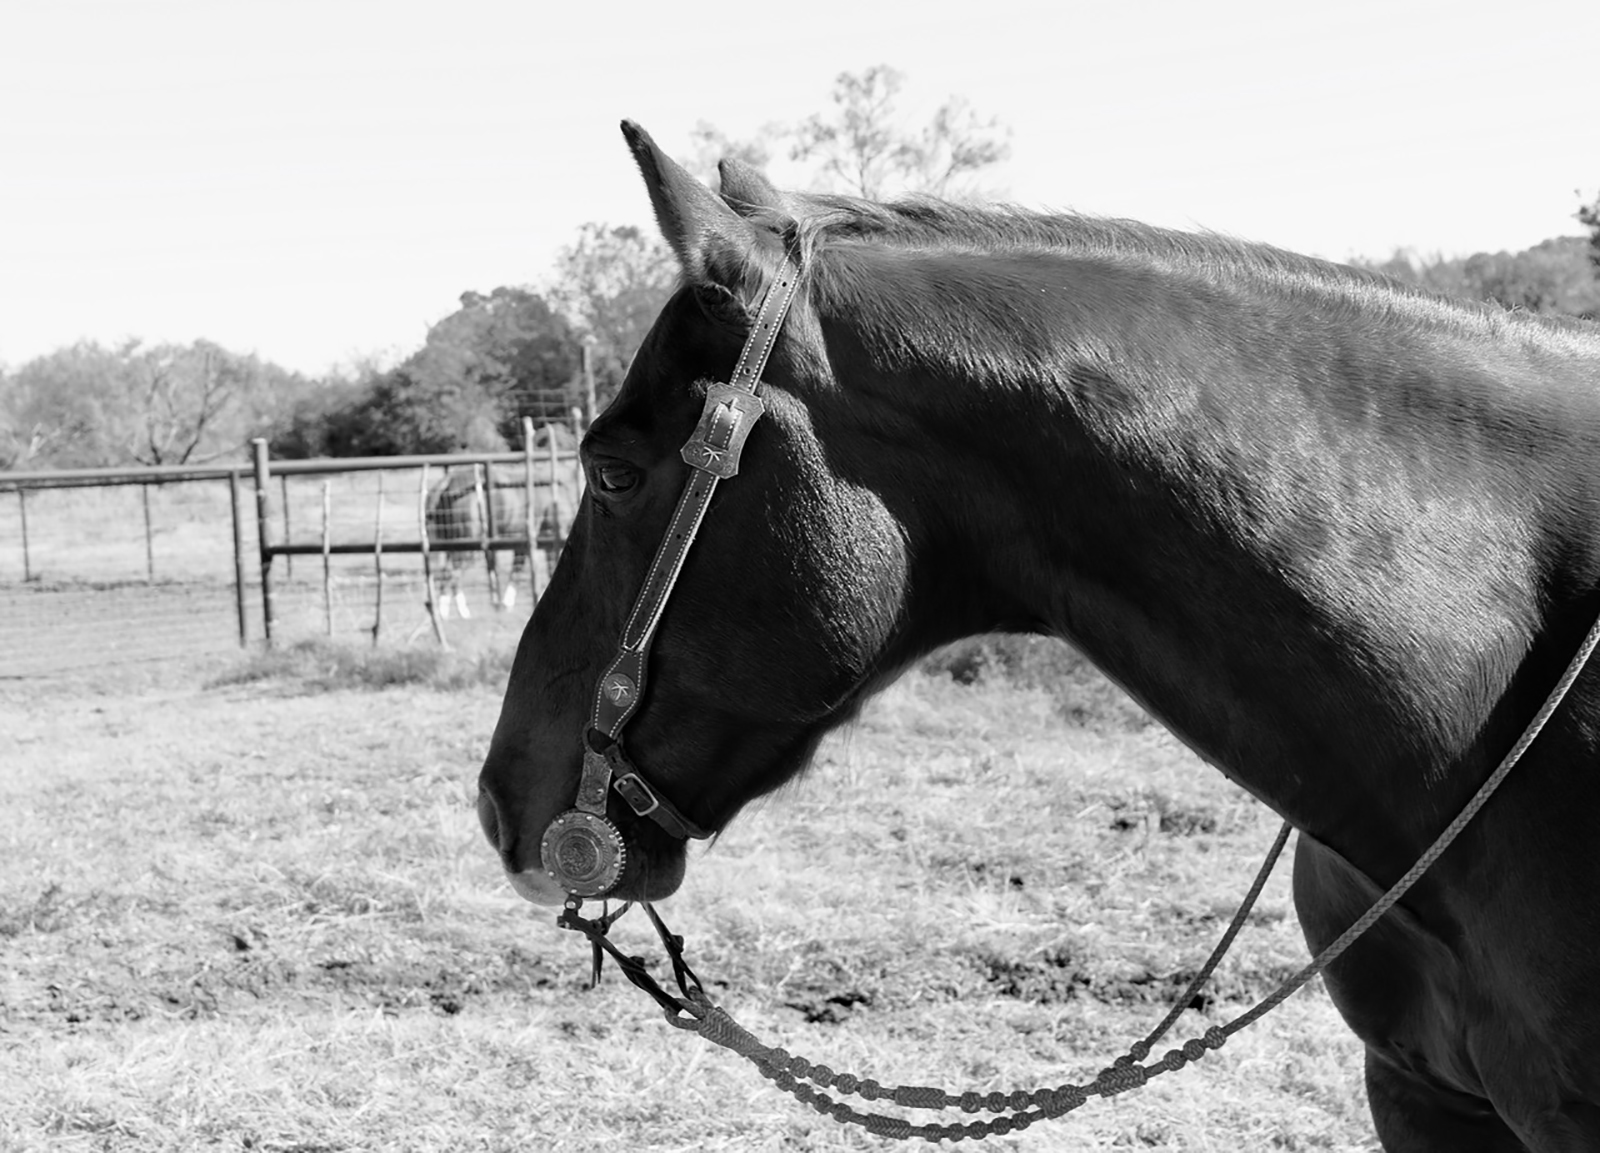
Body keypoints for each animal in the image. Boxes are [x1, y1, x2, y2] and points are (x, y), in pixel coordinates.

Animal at [423, 466, 574, 618]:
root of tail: (448, 481)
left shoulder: (525, 543)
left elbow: (518, 569)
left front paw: (506, 604)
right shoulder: (549, 537)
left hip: (450, 544)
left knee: (449, 573)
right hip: (467, 545)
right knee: (451, 573)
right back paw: (453, 613)